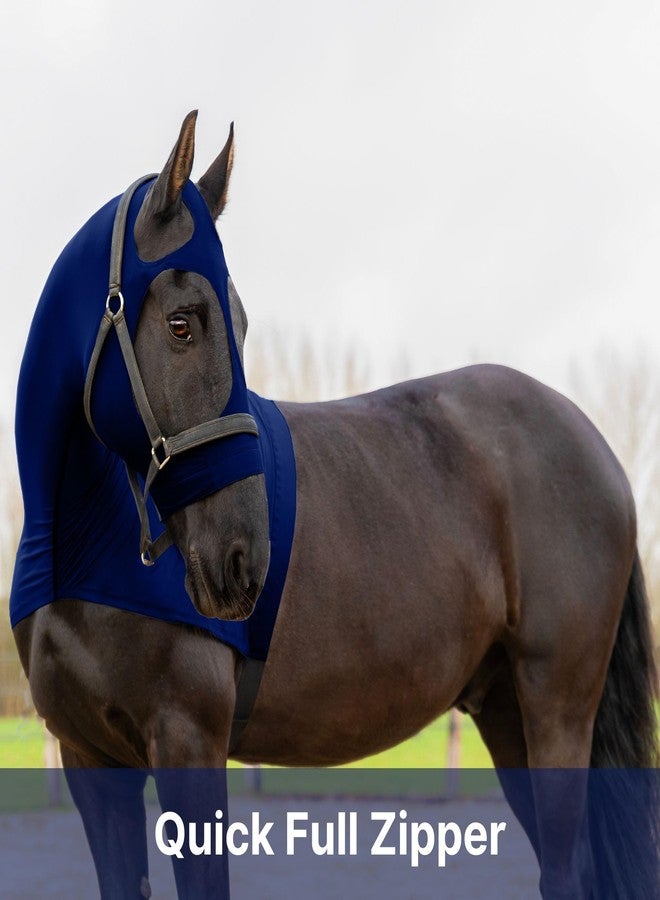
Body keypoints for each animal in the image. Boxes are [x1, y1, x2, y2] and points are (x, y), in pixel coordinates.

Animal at [11, 111, 658, 899]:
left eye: (240, 324)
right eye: (183, 322)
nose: (243, 560)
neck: (84, 555)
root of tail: (596, 448)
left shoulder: (188, 741)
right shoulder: (89, 762)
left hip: (557, 708)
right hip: (506, 712)